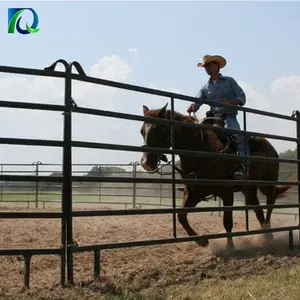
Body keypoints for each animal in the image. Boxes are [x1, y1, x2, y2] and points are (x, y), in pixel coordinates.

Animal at [140, 103, 292, 251]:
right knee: (257, 209)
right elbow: (181, 216)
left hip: (268, 183)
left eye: (156, 130)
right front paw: (202, 241)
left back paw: (268, 232)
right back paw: (266, 235)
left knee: (270, 203)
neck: (201, 150)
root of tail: (268, 144)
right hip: (249, 189)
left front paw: (230, 247)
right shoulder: (194, 192)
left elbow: (227, 222)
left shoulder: (226, 192)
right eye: (142, 131)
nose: (145, 163)